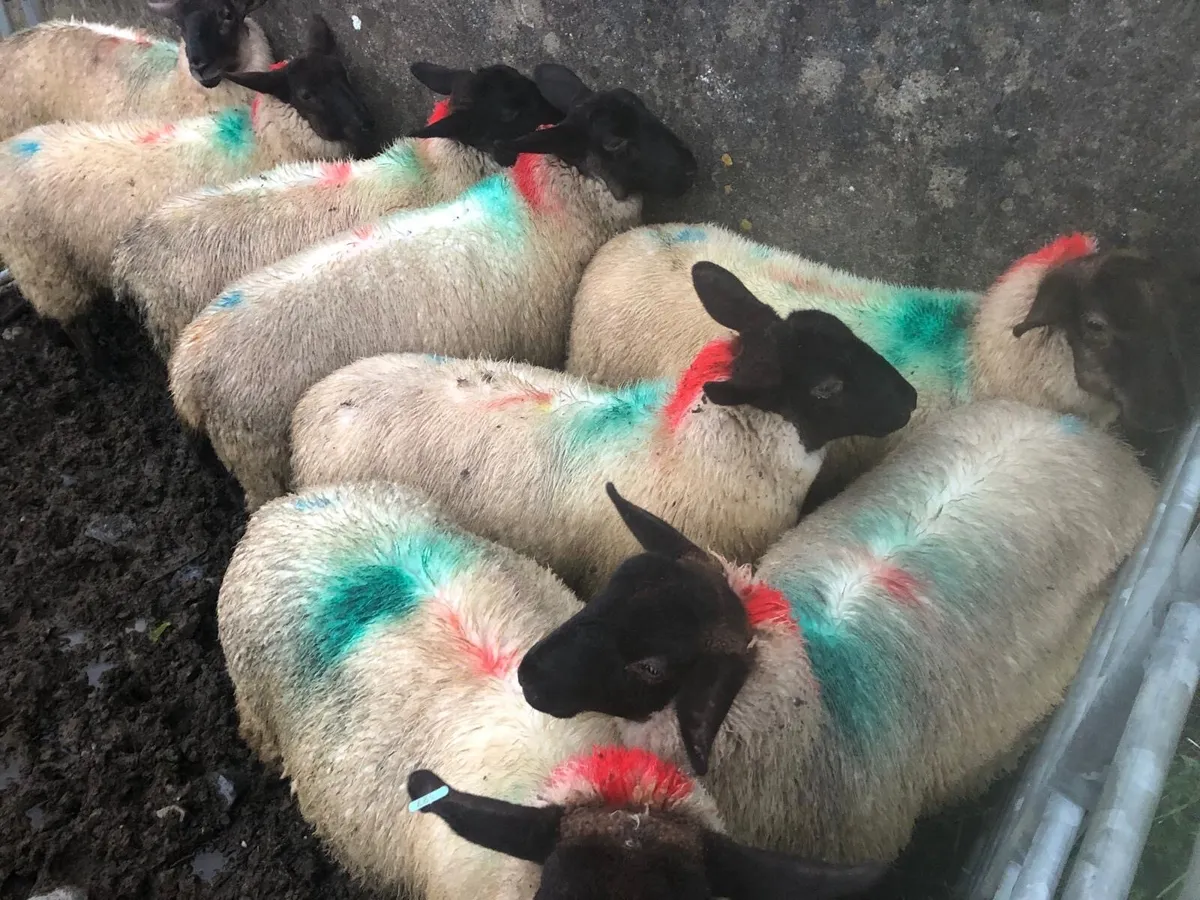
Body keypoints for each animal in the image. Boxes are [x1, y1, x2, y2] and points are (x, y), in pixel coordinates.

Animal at [0, 15, 372, 364]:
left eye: (343, 73)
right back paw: (101, 363)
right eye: (307, 94)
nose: (363, 122)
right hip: (44, 265)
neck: (264, 141)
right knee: (72, 320)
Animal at [168, 62, 697, 512]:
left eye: (639, 106)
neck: (543, 212)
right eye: (614, 142)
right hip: (257, 456)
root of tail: (186, 369)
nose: (690, 165)